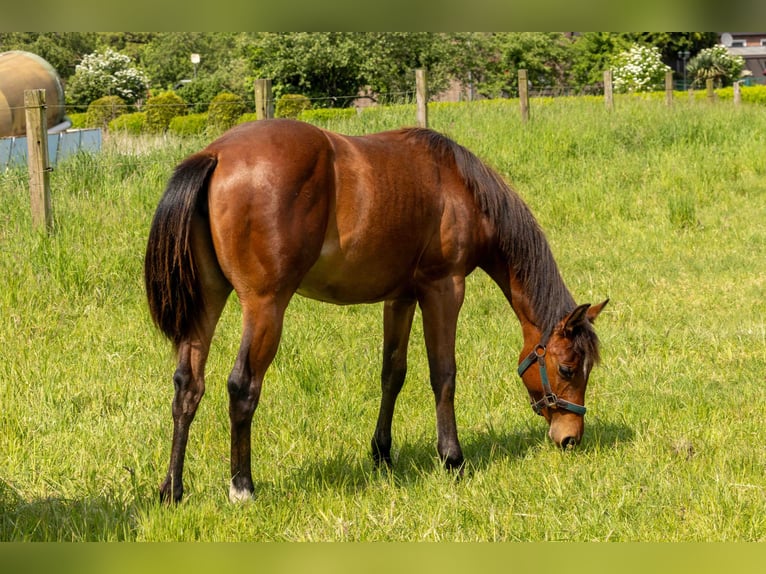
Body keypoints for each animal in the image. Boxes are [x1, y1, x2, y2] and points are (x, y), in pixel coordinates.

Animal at [144, 118, 608, 504]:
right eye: (567, 369)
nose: (571, 439)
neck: (458, 188)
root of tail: (217, 154)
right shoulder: (444, 289)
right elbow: (443, 375)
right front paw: (452, 459)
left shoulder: (400, 297)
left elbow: (393, 373)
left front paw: (382, 454)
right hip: (264, 305)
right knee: (242, 387)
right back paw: (242, 487)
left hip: (208, 299)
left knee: (188, 386)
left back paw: (172, 490)